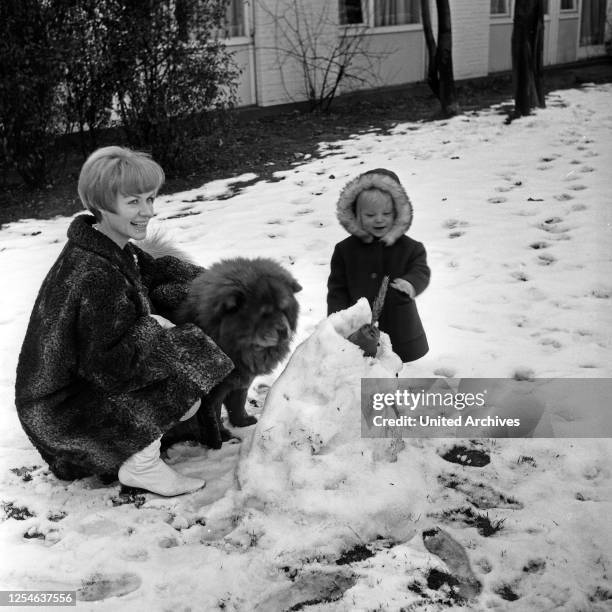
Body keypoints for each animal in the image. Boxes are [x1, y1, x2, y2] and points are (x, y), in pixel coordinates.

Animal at [160, 256, 298, 448]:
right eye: (263, 314)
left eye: (283, 309)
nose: (284, 331)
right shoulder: (212, 394)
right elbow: (215, 415)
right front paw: (222, 436)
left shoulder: (240, 382)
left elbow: (237, 405)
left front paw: (243, 422)